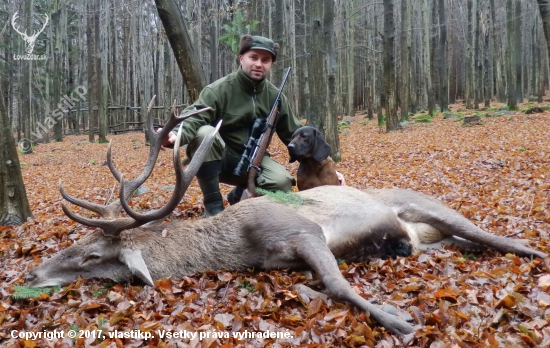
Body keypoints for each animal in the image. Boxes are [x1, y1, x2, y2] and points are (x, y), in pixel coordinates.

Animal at [24, 99, 548, 336]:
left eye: (91, 255)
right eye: (73, 245)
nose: (30, 273)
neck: (241, 244)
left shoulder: (302, 229)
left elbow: (338, 286)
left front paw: (400, 322)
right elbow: (314, 287)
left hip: (427, 204)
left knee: (493, 237)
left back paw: (533, 252)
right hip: (430, 236)